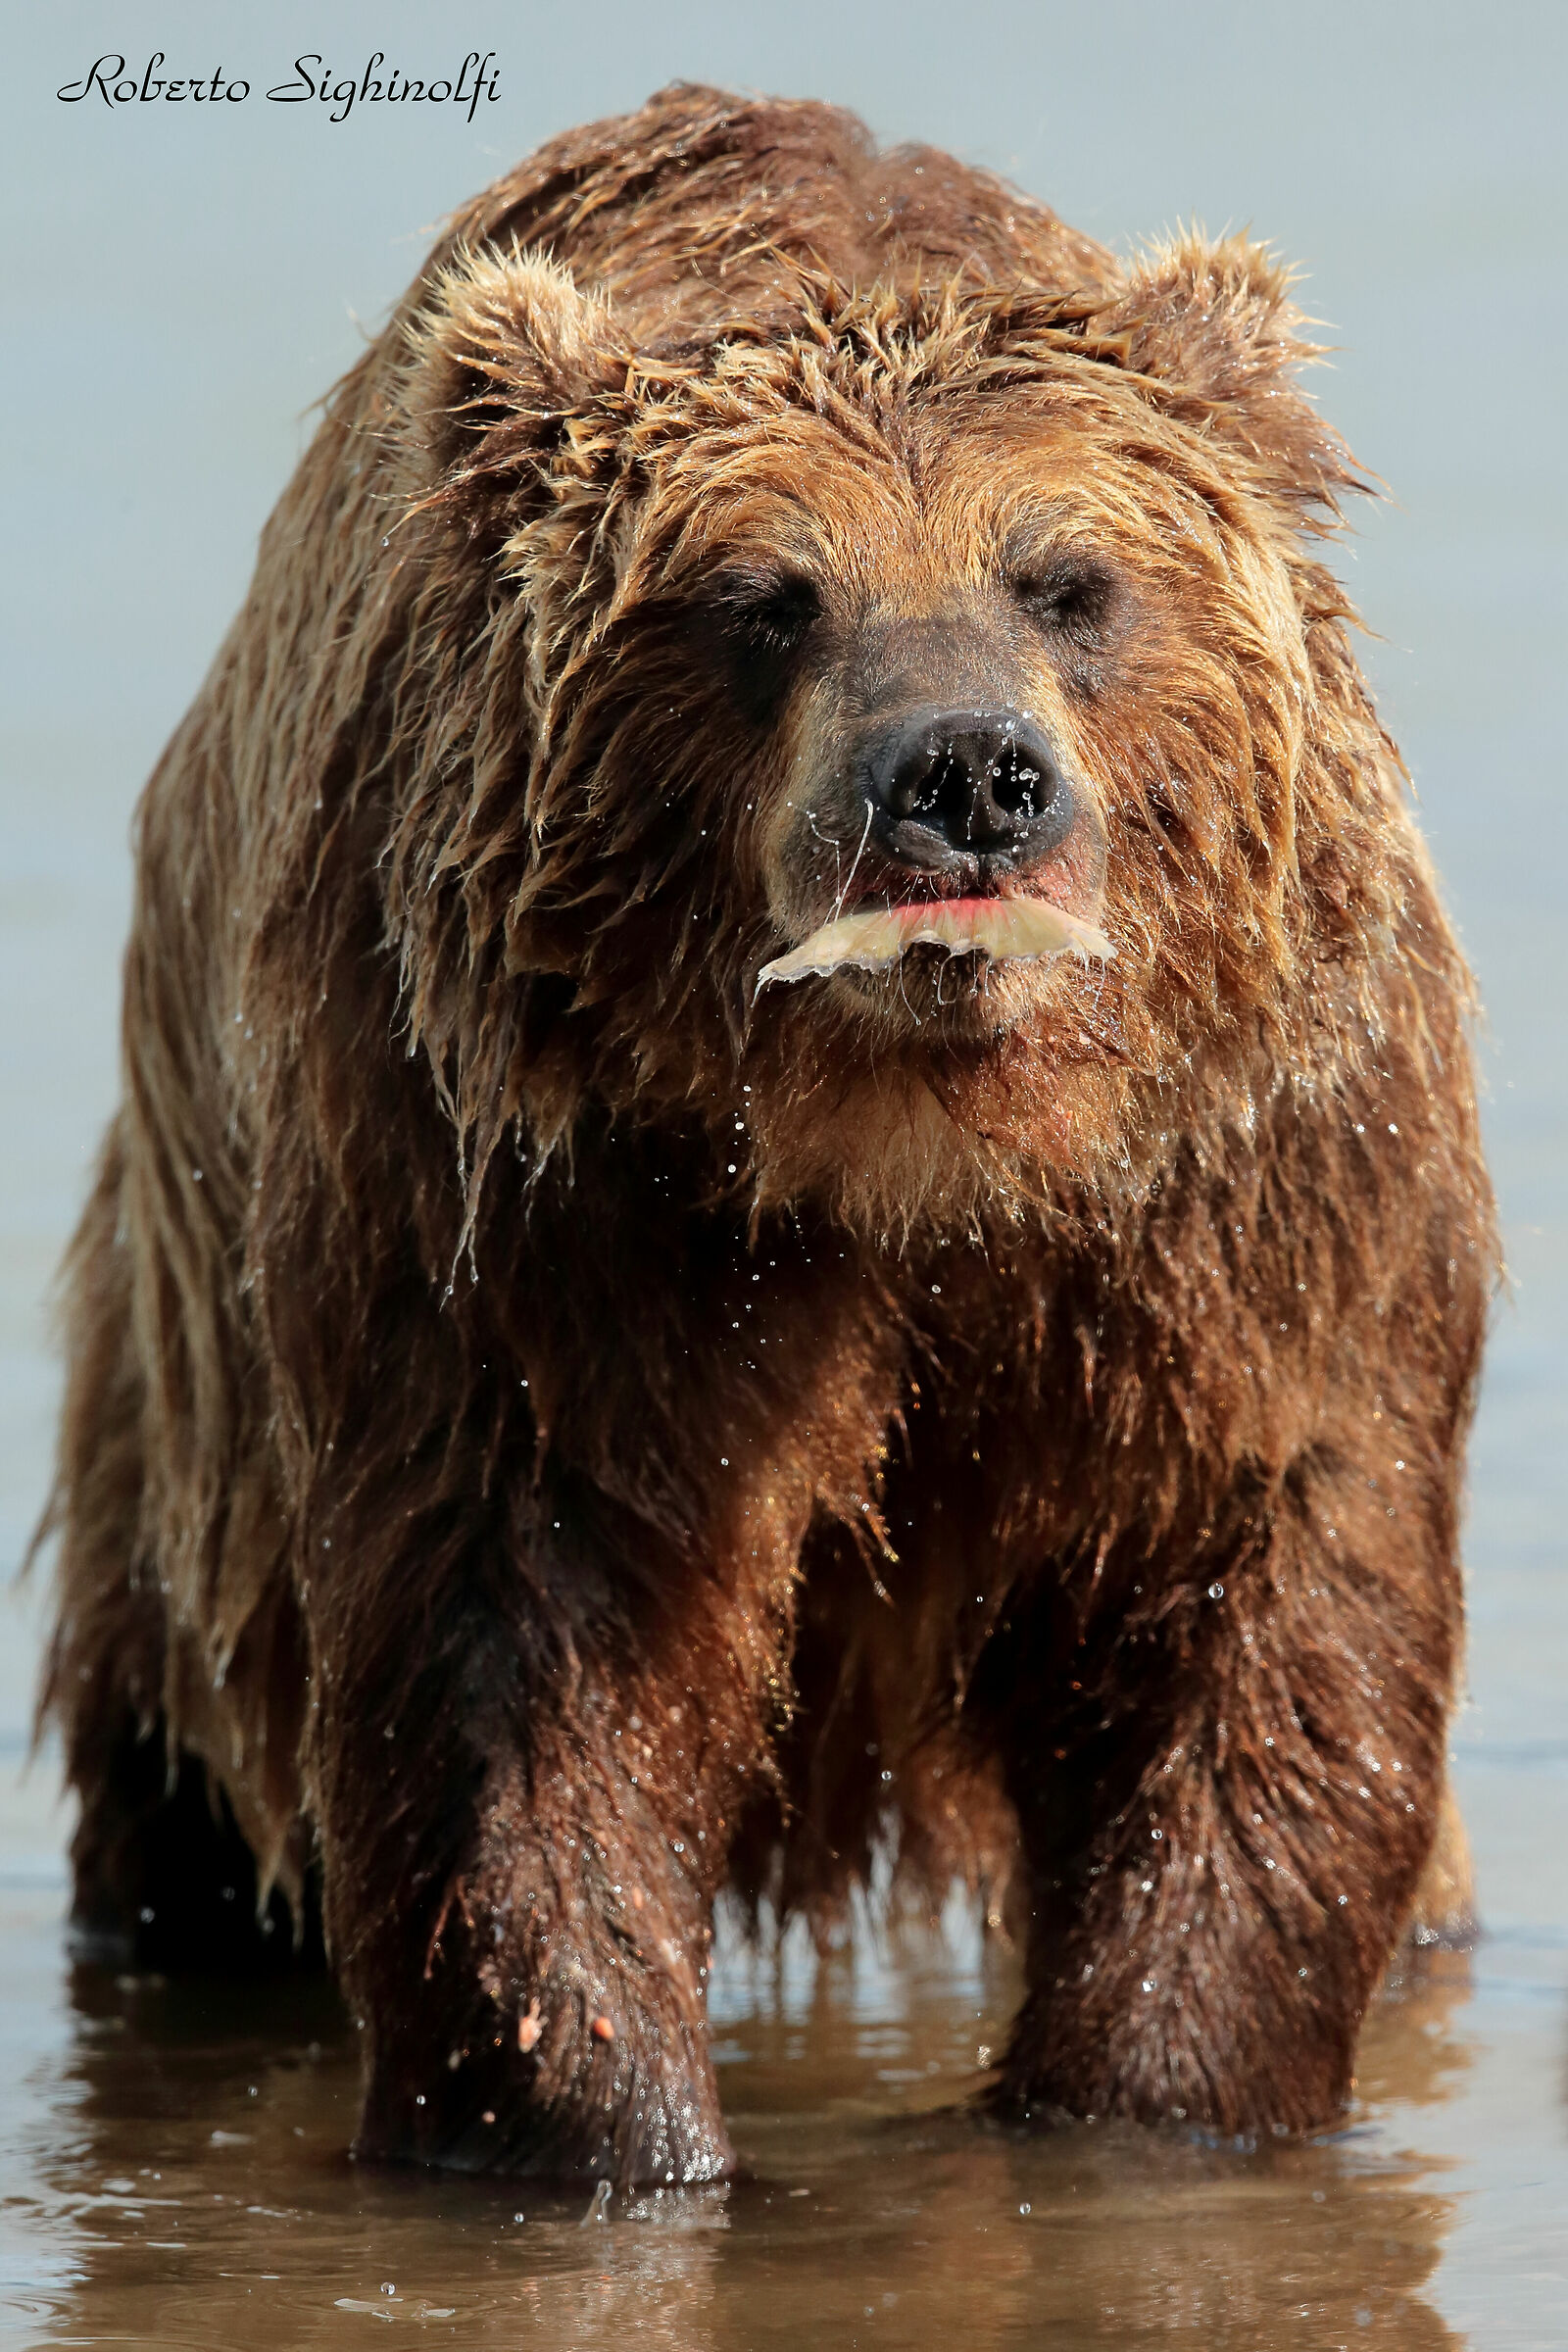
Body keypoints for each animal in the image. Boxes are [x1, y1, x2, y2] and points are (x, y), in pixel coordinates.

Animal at [38, 83, 1495, 2184]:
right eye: (766, 603)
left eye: (1068, 578)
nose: (962, 776)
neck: (920, 1156)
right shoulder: (537, 1195)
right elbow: (526, 1649)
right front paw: (597, 2134)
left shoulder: (1245, 1201)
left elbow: (1266, 1610)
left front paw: (1150, 2105)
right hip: (185, 1430)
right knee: (181, 1791)